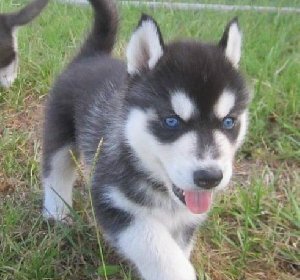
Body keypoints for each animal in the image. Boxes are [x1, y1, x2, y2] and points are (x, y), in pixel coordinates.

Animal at [42, 0, 248, 278]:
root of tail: (93, 56)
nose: (210, 178)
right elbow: (157, 248)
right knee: (56, 171)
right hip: (59, 134)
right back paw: (57, 213)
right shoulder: (112, 200)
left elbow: (178, 248)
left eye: (228, 122)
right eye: (171, 121)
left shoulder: (186, 221)